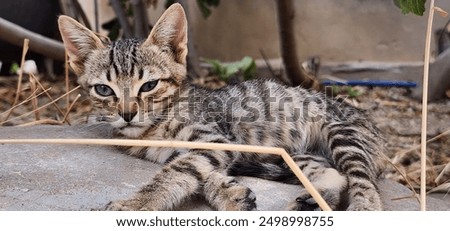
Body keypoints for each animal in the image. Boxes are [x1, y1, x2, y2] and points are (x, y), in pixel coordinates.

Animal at [58, 3, 384, 211]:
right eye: (104, 89)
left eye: (149, 86)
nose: (127, 114)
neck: (151, 130)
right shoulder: (202, 149)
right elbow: (198, 171)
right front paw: (228, 193)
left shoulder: (214, 139)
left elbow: (178, 172)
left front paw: (136, 205)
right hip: (294, 155)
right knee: (335, 174)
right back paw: (319, 197)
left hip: (343, 136)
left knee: (362, 178)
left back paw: (364, 207)